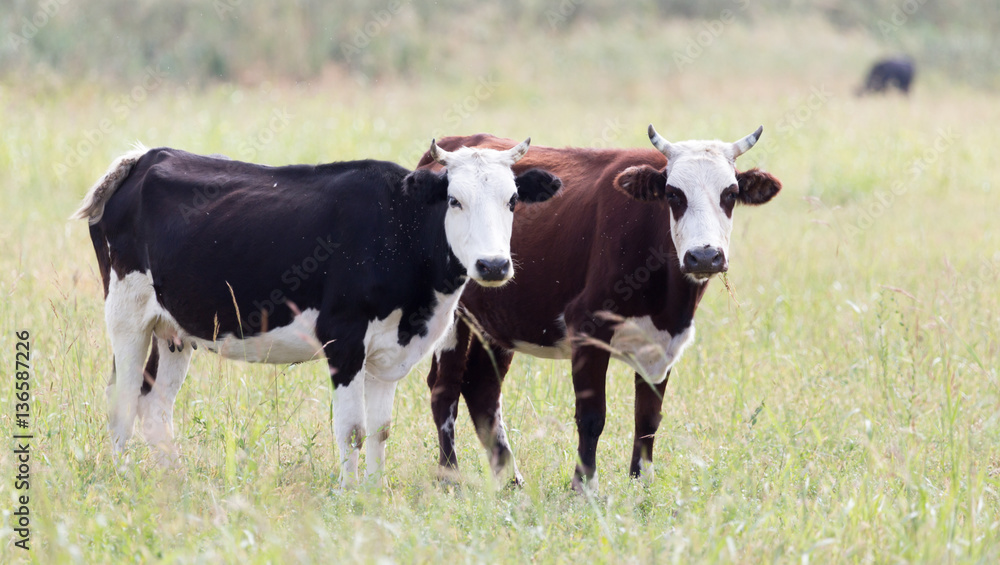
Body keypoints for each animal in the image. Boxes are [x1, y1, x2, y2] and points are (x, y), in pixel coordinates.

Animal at [74, 140, 564, 484]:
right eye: (454, 200)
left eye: (513, 201)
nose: (493, 265)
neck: (398, 232)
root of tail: (145, 157)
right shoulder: (343, 339)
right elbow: (351, 429)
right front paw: (349, 495)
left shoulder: (388, 354)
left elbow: (380, 429)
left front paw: (374, 492)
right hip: (127, 314)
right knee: (122, 401)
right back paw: (121, 478)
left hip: (175, 329)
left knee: (155, 405)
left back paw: (172, 479)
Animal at [422, 126, 780, 490]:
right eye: (673, 194)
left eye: (730, 194)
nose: (705, 256)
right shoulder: (587, 326)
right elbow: (592, 416)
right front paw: (584, 486)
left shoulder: (665, 341)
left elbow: (648, 418)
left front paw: (641, 482)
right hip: (453, 316)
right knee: (444, 389)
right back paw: (449, 476)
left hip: (499, 320)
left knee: (481, 387)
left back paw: (510, 478)